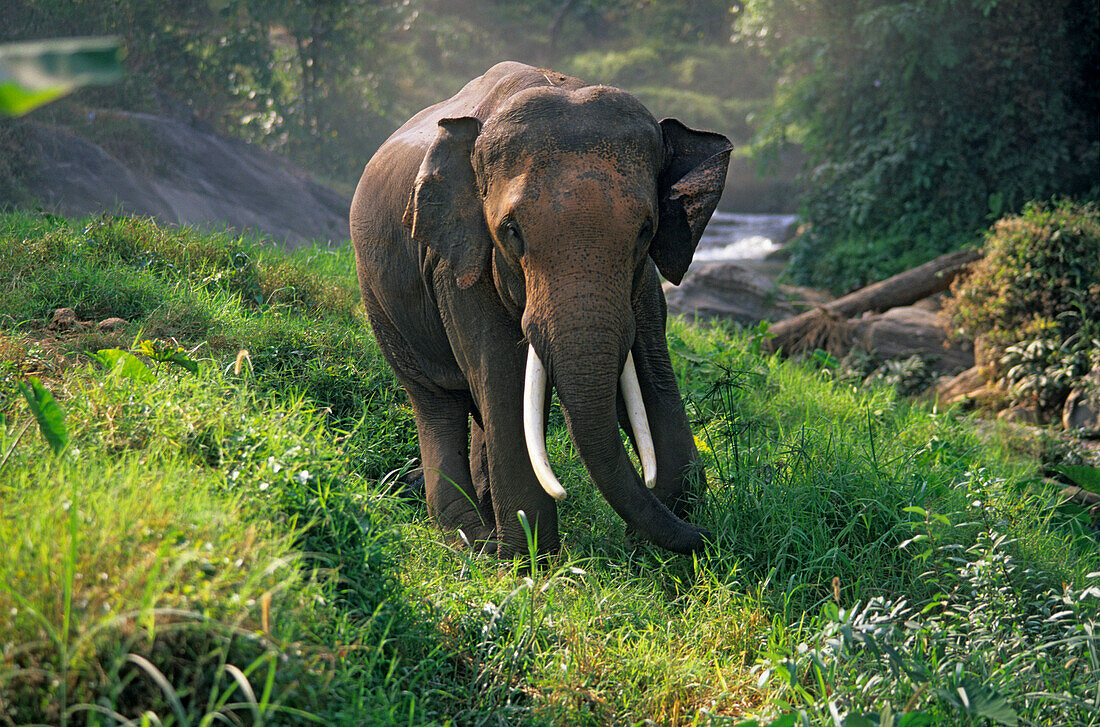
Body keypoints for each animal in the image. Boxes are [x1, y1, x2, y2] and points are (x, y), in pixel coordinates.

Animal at [352, 62, 730, 556]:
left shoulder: (643, 280)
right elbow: (502, 373)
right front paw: (530, 560)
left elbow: (650, 366)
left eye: (646, 230)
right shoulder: (459, 262)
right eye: (512, 231)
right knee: (436, 400)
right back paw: (471, 540)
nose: (713, 537)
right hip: (378, 298)